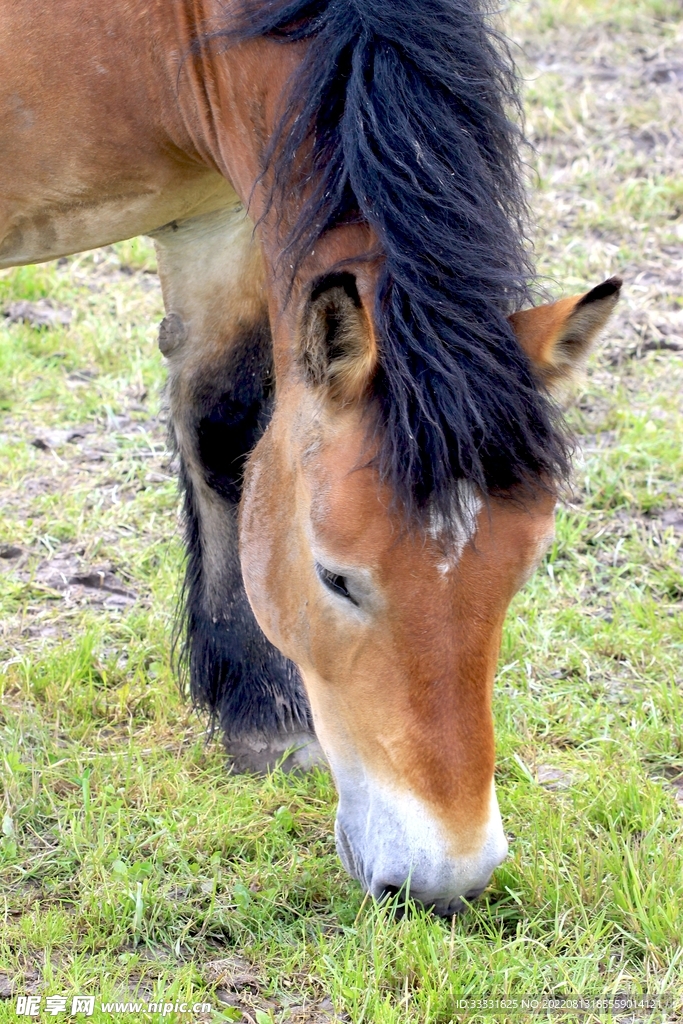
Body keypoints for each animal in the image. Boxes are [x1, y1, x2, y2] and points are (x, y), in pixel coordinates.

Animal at [0, 0, 620, 915]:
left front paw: (261, 715)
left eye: (522, 570)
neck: (154, 30)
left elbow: (224, 425)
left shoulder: (219, 214)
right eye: (334, 578)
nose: (446, 879)